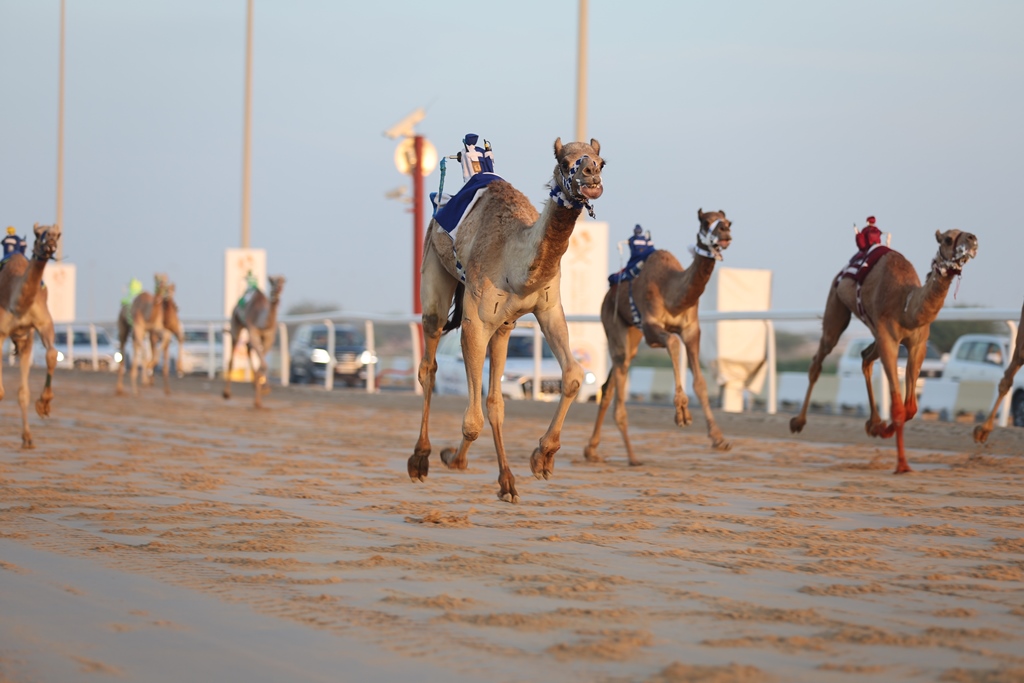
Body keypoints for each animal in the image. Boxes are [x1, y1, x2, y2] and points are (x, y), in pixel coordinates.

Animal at [0, 223, 61, 448]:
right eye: (38, 233)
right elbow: (0, 392)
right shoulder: (0, 331)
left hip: (24, 341)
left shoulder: (41, 325)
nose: (51, 240)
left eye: (58, 233)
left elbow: (52, 354)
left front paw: (44, 405)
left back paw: (27, 438)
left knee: (22, 391)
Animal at [407, 137, 602, 501]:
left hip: (505, 327)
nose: (591, 176)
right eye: (564, 161)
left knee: (495, 399)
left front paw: (542, 458)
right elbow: (472, 422)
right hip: (434, 277)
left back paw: (506, 481)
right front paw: (450, 459)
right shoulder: (475, 321)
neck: (517, 264)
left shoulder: (548, 308)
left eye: (602, 161)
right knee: (429, 364)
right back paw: (421, 459)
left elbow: (571, 375)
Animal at [581, 208, 733, 466]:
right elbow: (672, 342)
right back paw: (632, 457)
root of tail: (609, 293)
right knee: (619, 376)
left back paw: (592, 450)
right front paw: (682, 413)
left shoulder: (692, 330)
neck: (673, 292)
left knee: (609, 385)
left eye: (727, 221)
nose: (725, 231)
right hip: (613, 322)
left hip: (632, 335)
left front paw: (719, 439)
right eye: (705, 222)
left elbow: (700, 383)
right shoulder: (651, 328)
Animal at [786, 227, 978, 473]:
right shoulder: (889, 341)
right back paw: (798, 422)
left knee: (865, 357)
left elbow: (911, 408)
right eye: (947, 239)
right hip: (836, 306)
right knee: (819, 360)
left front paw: (882, 430)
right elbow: (898, 407)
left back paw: (874, 423)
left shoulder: (917, 345)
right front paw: (902, 465)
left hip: (874, 332)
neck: (907, 307)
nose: (972, 238)